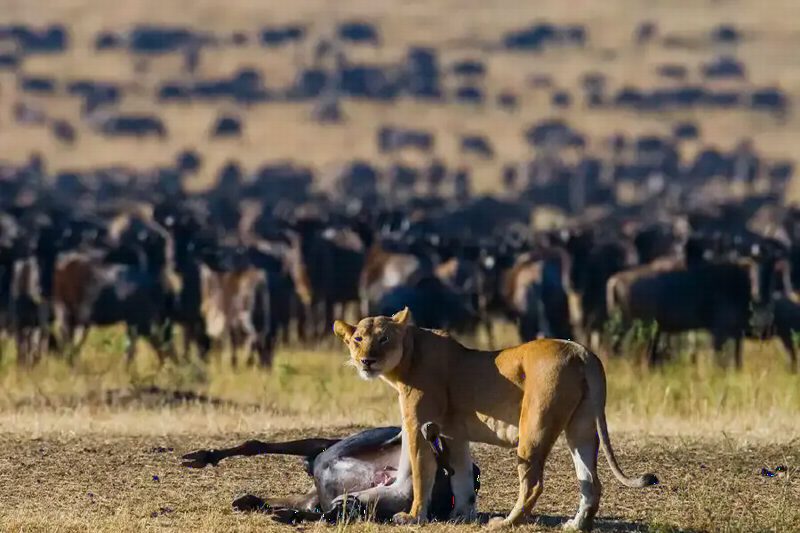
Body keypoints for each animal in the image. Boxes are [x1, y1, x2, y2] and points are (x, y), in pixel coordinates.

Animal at [334, 307, 658, 531]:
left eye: (384, 338)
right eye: (358, 339)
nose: (366, 361)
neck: (409, 355)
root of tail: (581, 351)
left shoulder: (418, 425)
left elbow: (421, 474)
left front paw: (413, 517)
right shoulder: (452, 434)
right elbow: (462, 478)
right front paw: (461, 516)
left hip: (534, 427)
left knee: (534, 485)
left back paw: (505, 523)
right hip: (581, 427)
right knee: (591, 482)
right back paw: (575, 525)